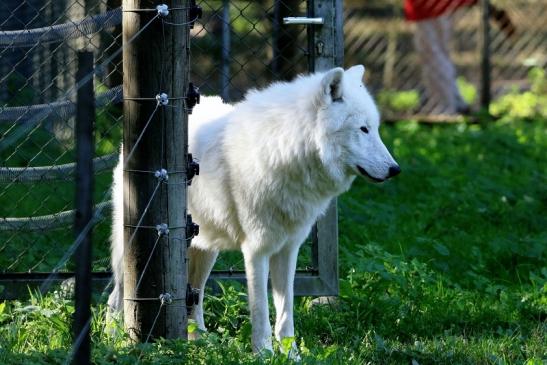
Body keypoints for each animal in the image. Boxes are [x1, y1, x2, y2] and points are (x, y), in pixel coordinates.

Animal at [107, 64, 400, 356]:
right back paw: (115, 341)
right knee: (116, 296)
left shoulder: (288, 249)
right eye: (363, 129)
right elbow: (261, 311)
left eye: (375, 128)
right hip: (133, 252)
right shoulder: (257, 249)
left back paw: (201, 342)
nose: (395, 169)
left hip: (205, 249)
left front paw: (291, 356)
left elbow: (285, 313)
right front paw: (264, 354)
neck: (286, 148)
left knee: (194, 297)